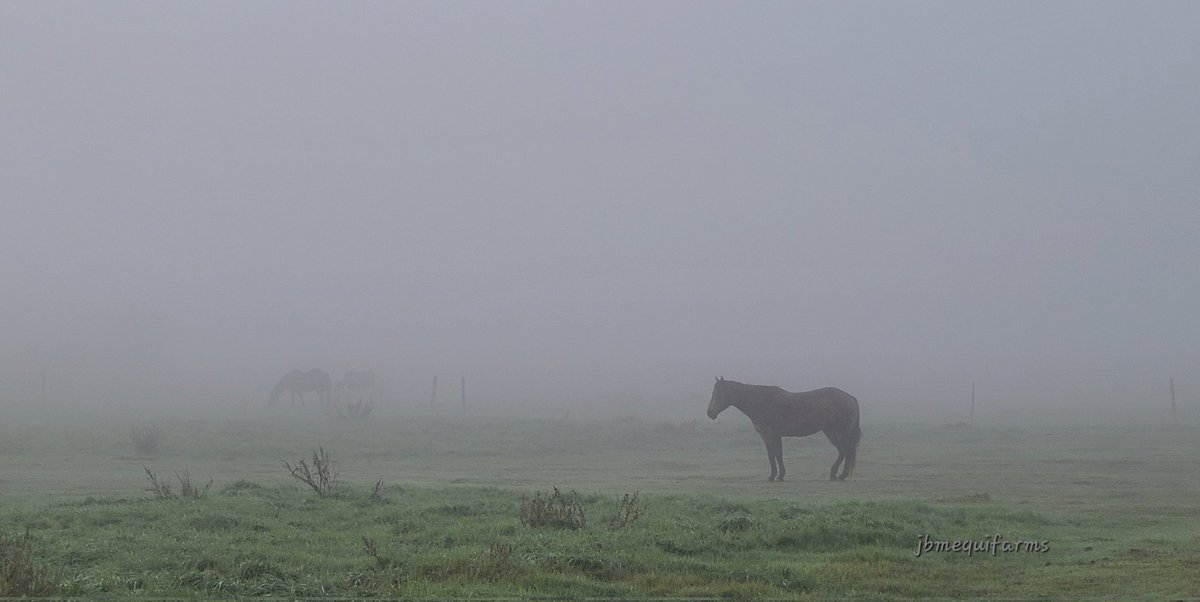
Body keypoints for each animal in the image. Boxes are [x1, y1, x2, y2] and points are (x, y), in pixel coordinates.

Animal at [706, 377, 861, 481]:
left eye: (718, 393)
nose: (710, 413)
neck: (761, 403)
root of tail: (850, 397)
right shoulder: (768, 436)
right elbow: (774, 455)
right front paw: (776, 475)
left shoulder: (772, 435)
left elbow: (775, 454)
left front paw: (776, 475)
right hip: (830, 432)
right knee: (843, 451)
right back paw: (835, 474)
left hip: (840, 432)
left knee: (846, 451)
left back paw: (840, 475)